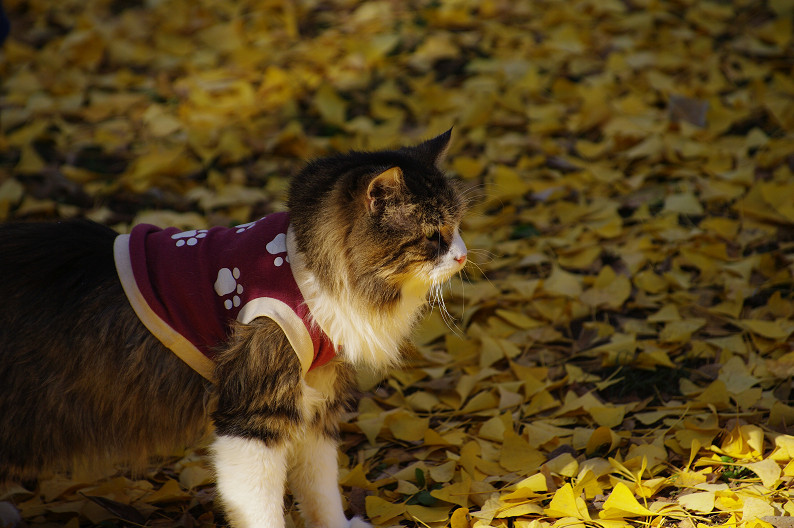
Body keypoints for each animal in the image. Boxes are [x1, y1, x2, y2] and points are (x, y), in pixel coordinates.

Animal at [0, 129, 464, 528]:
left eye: (456, 226)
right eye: (434, 234)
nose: (463, 255)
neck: (305, 270)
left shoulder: (314, 402)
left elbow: (320, 490)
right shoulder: (253, 416)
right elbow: (259, 506)